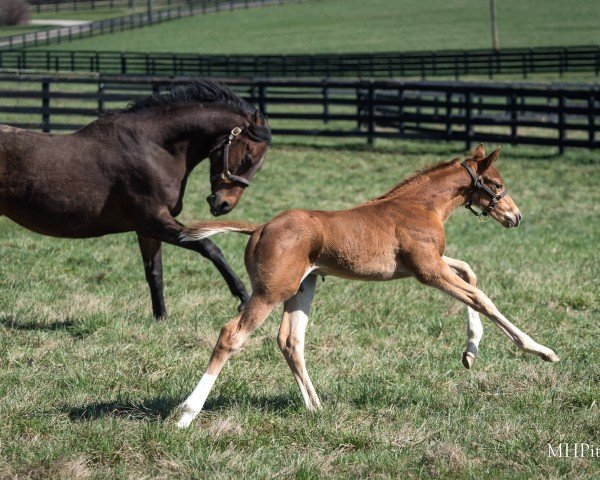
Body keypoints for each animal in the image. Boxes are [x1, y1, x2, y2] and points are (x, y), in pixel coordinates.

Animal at [0, 79, 270, 318]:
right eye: (248, 158)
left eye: (258, 166)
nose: (224, 205)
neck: (154, 148)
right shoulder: (155, 221)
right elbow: (210, 247)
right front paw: (243, 298)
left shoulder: (146, 229)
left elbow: (155, 273)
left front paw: (161, 318)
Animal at [176, 144, 560, 426]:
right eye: (496, 184)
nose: (515, 216)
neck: (421, 205)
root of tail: (259, 227)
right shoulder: (428, 270)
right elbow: (482, 297)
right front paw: (541, 350)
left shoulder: (429, 264)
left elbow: (470, 272)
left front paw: (470, 352)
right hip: (271, 292)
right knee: (232, 334)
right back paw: (187, 414)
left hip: (303, 287)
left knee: (290, 340)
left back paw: (316, 407)